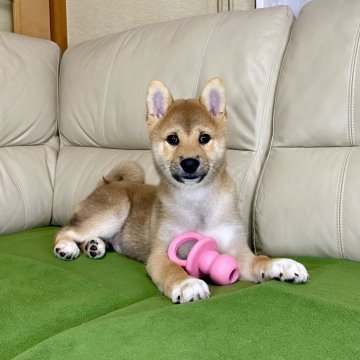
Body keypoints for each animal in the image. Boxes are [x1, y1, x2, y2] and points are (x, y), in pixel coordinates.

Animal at [54, 77, 310, 302]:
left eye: (204, 138)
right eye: (172, 139)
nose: (189, 163)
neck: (197, 202)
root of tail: (107, 183)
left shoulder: (238, 251)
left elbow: (260, 261)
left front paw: (282, 265)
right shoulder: (160, 254)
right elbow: (172, 270)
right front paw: (187, 284)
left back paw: (94, 246)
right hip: (115, 210)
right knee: (65, 231)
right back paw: (67, 247)